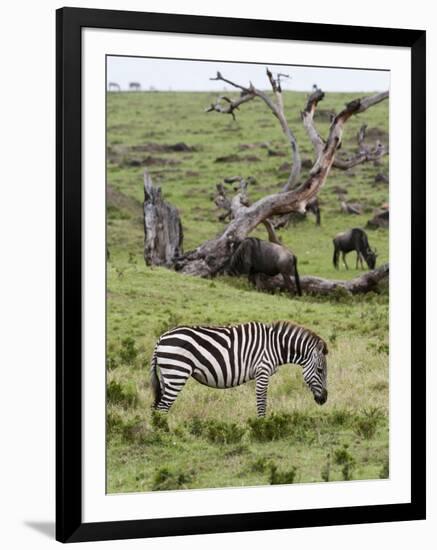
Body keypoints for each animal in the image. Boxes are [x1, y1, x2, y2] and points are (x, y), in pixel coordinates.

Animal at [151, 322, 328, 416]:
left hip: (167, 376)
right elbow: (262, 401)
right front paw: (262, 426)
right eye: (320, 370)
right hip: (177, 374)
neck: (276, 346)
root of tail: (161, 338)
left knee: (158, 407)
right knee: (162, 407)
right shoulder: (262, 371)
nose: (324, 400)